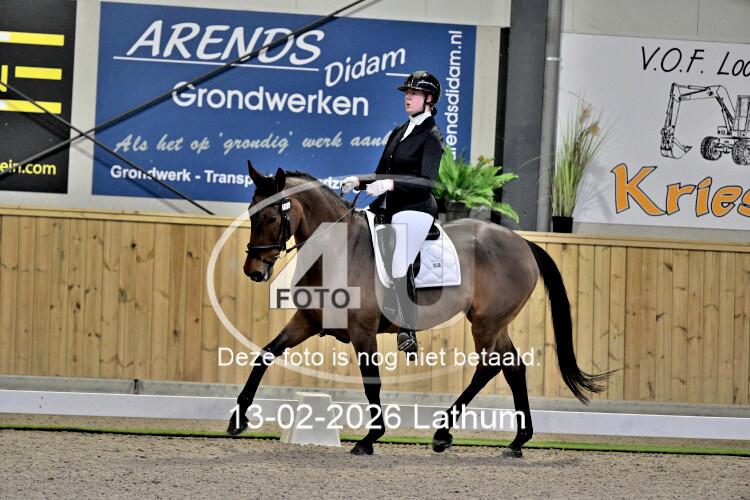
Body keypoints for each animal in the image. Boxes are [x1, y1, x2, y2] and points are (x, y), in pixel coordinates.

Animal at [228, 163, 608, 457]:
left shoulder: (363, 331)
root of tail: (523, 243)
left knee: (489, 367)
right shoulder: (306, 321)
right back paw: (516, 442)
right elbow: (264, 355)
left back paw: (444, 432)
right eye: (252, 214)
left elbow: (372, 382)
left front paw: (370, 438)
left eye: (271, 217)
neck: (338, 251)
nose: (253, 271)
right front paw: (237, 419)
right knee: (512, 366)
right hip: (493, 323)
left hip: (486, 322)